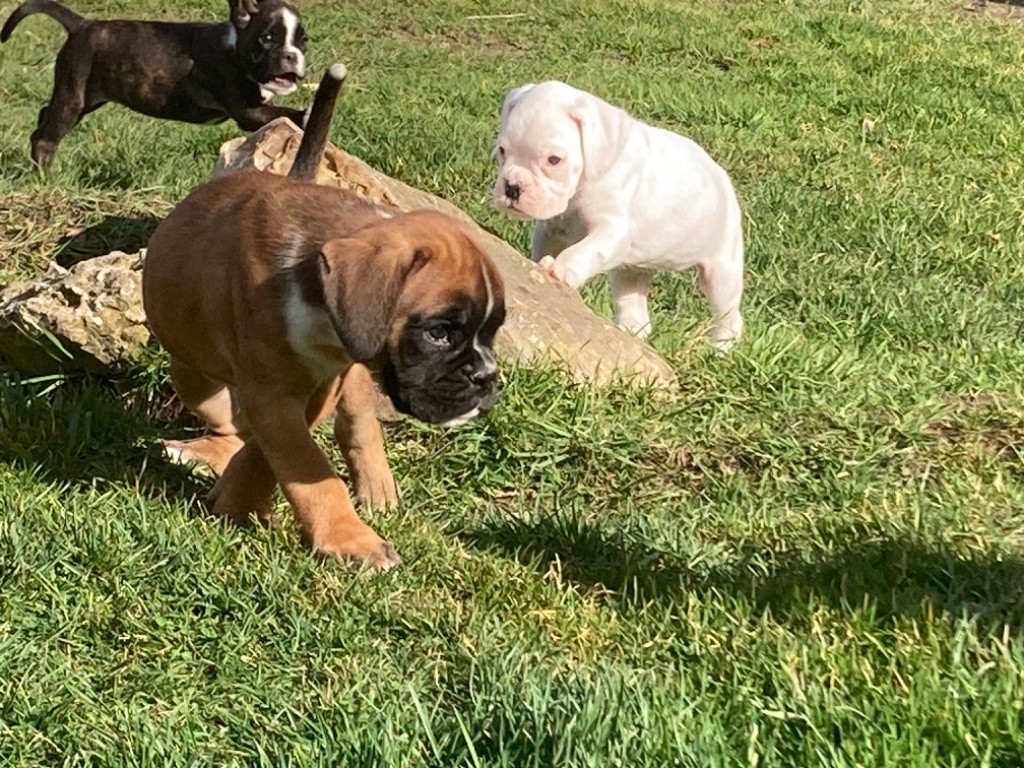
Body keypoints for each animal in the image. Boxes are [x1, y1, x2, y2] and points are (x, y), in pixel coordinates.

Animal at [1, 0, 308, 167]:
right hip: (73, 95)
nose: (292, 56)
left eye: (303, 41)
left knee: (45, 117)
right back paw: (44, 174)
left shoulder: (259, 109)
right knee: (46, 137)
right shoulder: (248, 111)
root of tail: (81, 24)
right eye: (266, 38)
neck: (234, 45)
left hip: (87, 98)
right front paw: (306, 114)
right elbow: (286, 112)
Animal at [143, 64, 506, 570]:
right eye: (439, 333)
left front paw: (242, 502)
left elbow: (283, 459)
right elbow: (300, 460)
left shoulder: (317, 388)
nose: (487, 378)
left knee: (348, 422)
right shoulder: (273, 394)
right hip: (192, 372)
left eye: (493, 331)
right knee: (229, 422)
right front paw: (346, 538)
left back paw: (373, 484)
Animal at [492, 81, 744, 348]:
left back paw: (721, 346)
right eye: (502, 151)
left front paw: (561, 269)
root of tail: (721, 175)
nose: (512, 187)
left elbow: (585, 250)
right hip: (632, 272)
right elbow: (544, 249)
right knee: (635, 309)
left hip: (722, 272)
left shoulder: (611, 231)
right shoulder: (551, 230)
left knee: (729, 315)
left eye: (554, 160)